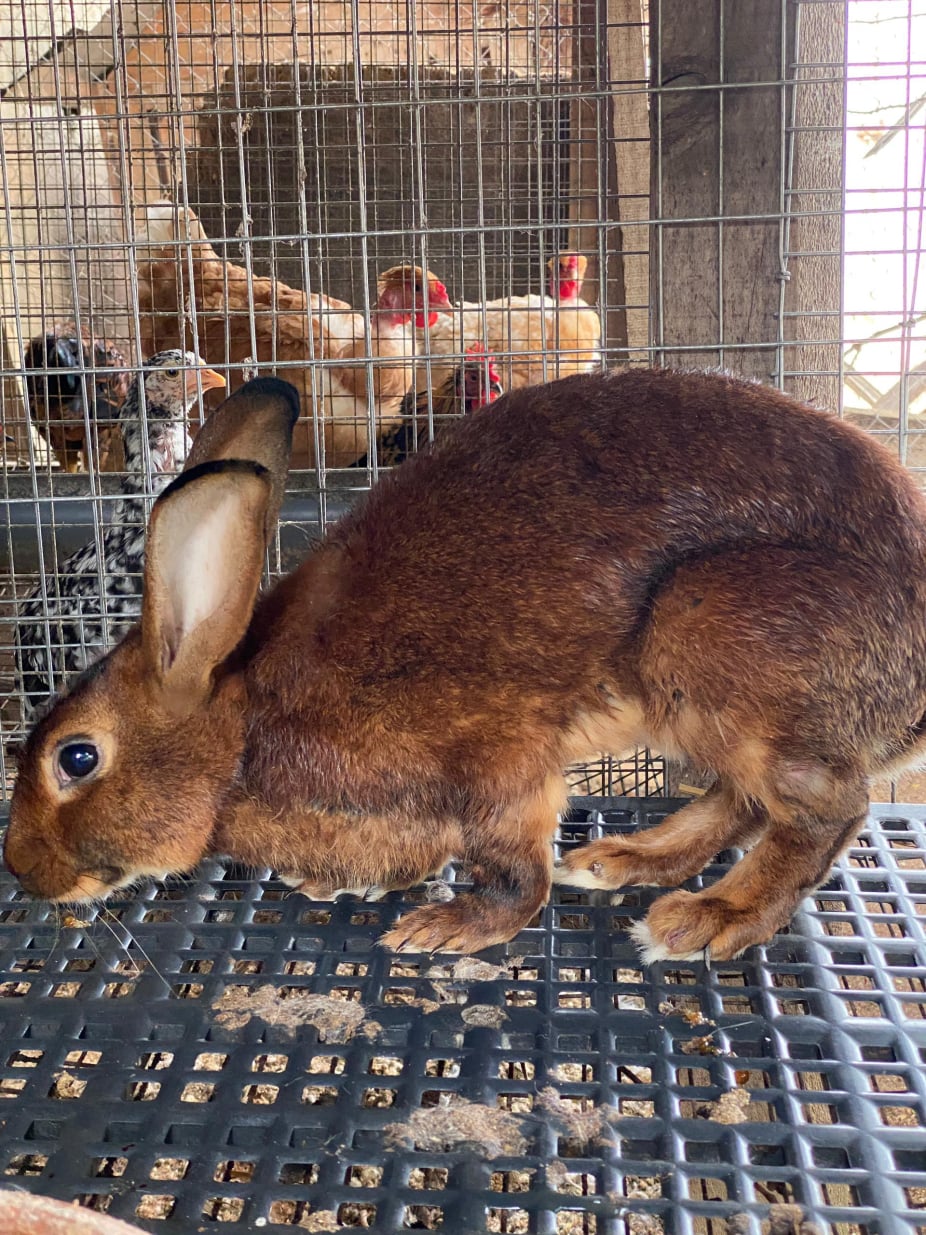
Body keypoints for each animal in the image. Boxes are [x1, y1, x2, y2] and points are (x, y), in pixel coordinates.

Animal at [7, 366, 926, 964]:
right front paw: (339, 885)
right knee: (742, 797)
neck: (239, 731)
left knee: (823, 807)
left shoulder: (496, 759)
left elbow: (516, 869)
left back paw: (705, 917)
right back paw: (622, 860)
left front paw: (447, 927)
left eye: (76, 757)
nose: (22, 870)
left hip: (707, 631)